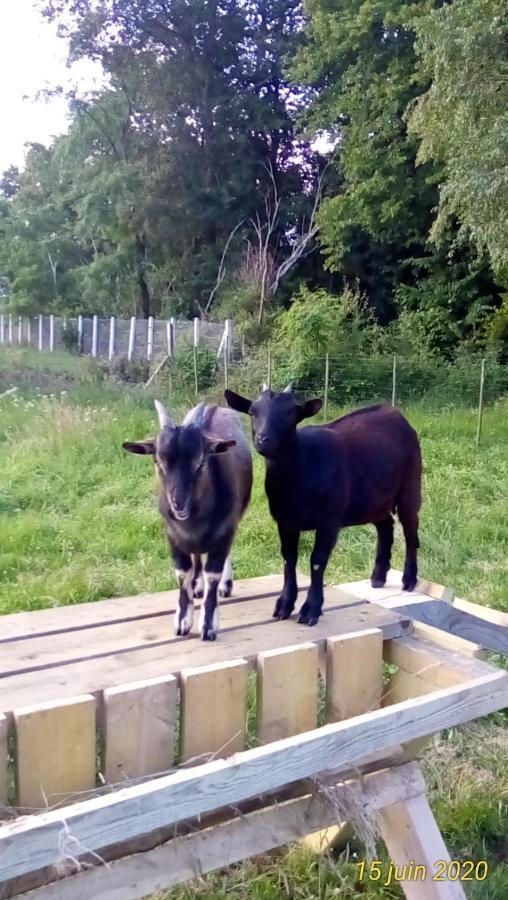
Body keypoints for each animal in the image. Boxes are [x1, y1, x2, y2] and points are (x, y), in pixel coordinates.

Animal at [121, 400, 252, 640]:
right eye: (158, 461)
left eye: (200, 462)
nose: (178, 503)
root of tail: (214, 406)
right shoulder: (173, 535)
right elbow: (182, 572)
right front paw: (182, 621)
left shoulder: (224, 531)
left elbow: (213, 574)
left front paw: (208, 625)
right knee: (197, 556)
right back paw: (197, 586)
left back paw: (224, 585)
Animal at [225, 384, 420, 624]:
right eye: (253, 412)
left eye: (290, 413)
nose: (263, 439)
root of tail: (394, 413)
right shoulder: (285, 521)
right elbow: (289, 558)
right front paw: (284, 605)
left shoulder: (329, 520)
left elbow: (317, 560)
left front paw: (311, 610)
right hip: (374, 499)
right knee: (385, 527)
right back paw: (378, 576)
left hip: (410, 487)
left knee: (411, 531)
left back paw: (409, 580)